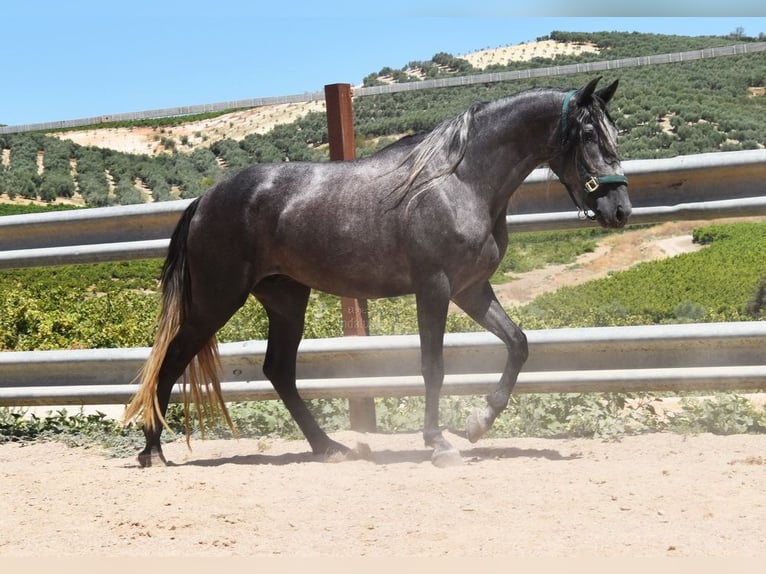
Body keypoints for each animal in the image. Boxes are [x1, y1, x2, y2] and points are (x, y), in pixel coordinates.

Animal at [124, 76, 632, 470]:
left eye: (615, 133)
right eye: (590, 133)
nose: (620, 209)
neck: (459, 181)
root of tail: (204, 200)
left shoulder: (471, 289)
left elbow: (519, 344)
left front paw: (477, 424)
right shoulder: (435, 289)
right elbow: (433, 367)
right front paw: (439, 444)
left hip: (286, 300)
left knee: (279, 370)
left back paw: (329, 447)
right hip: (217, 300)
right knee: (172, 358)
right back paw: (153, 451)